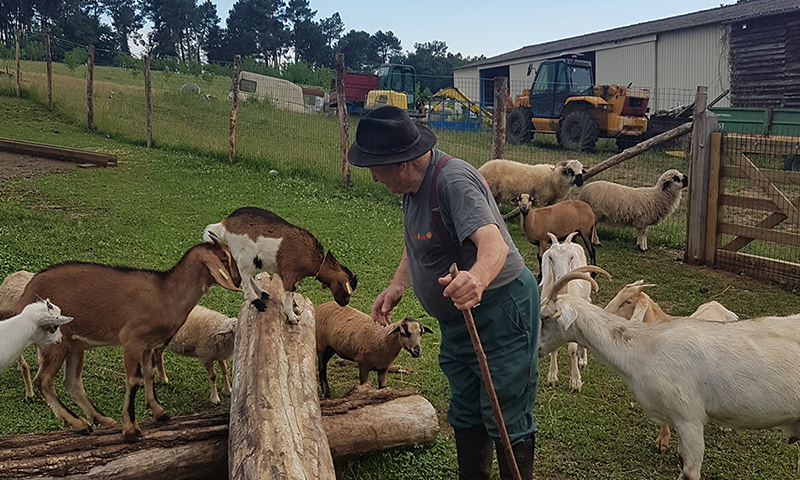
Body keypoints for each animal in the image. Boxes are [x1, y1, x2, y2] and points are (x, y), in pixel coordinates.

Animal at [205, 204, 358, 324]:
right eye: (347, 289)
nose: (345, 303)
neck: (310, 256)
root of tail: (225, 223)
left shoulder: (284, 272)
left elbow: (291, 291)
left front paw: (295, 307)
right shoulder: (289, 271)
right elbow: (289, 291)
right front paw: (292, 316)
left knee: (246, 276)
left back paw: (263, 293)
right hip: (245, 255)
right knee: (244, 278)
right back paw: (257, 302)